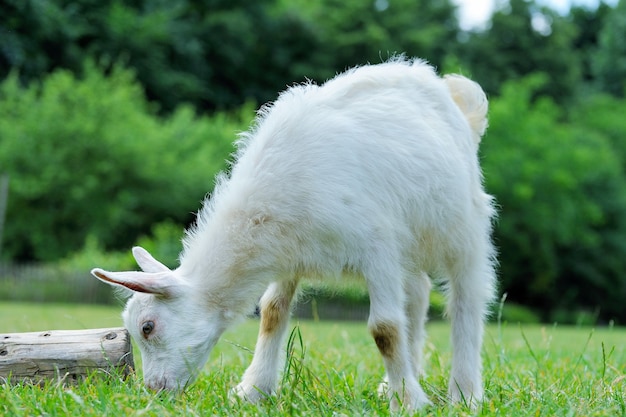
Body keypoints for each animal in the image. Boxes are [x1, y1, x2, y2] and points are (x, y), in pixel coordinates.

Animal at [91, 57, 492, 412]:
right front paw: (253, 390)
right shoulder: (288, 252)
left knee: (466, 300)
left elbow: (385, 329)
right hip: (409, 247)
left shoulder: (377, 248)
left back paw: (465, 393)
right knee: (419, 295)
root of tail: (450, 93)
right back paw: (398, 381)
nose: (155, 390)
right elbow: (272, 312)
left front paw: (408, 402)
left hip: (462, 225)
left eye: (147, 327)